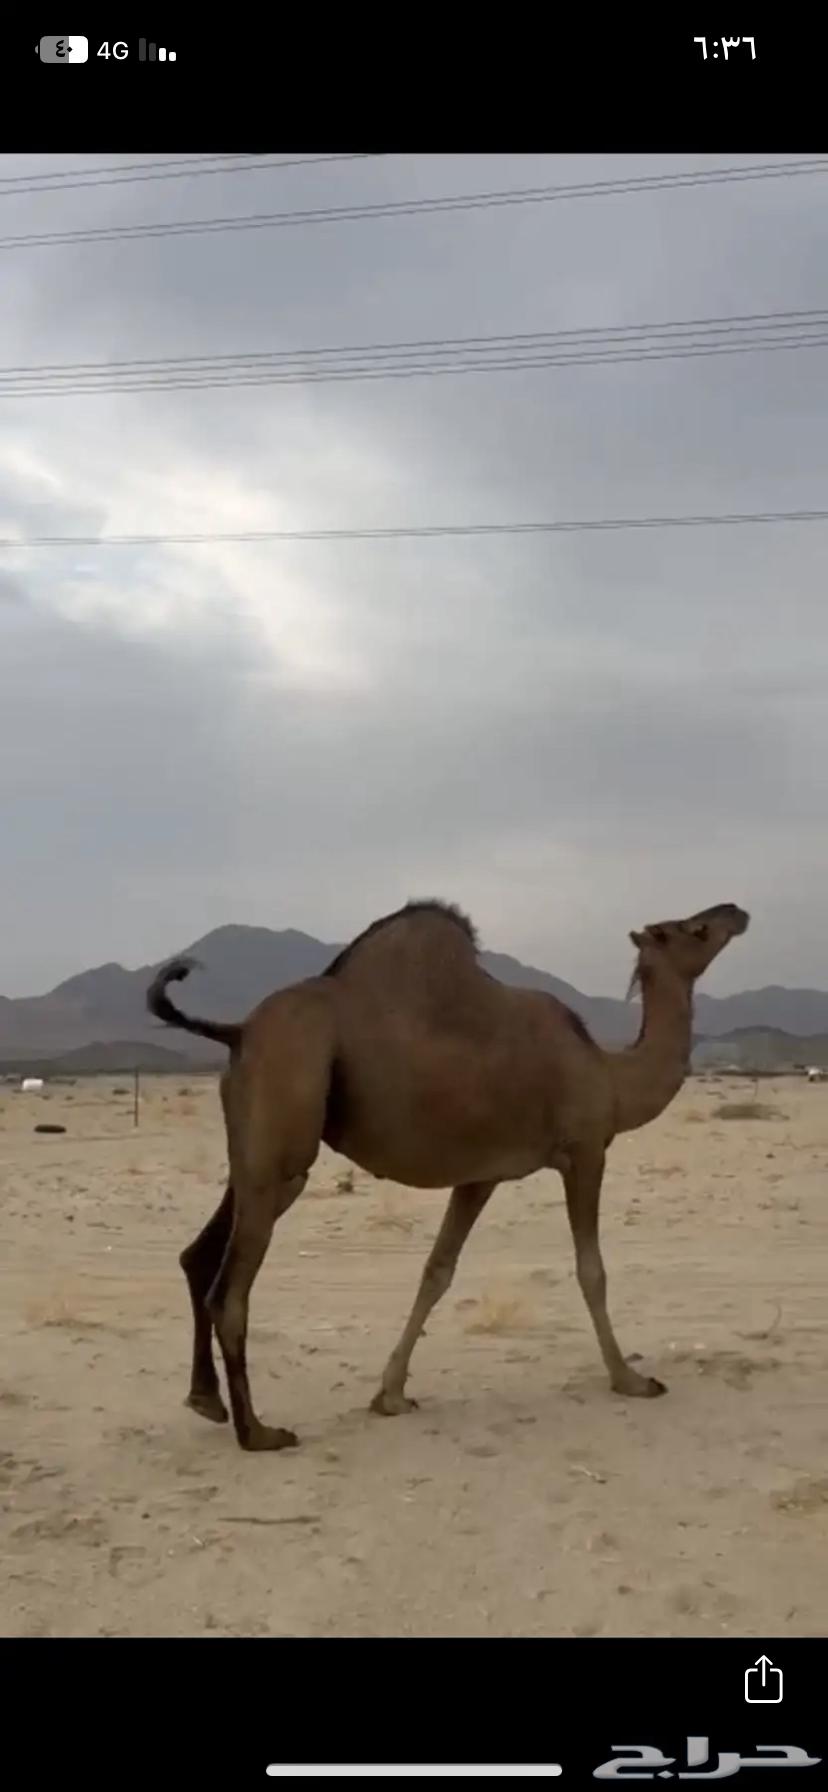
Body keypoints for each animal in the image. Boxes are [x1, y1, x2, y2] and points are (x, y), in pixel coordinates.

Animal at [147, 897, 749, 1452]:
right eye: (694, 928)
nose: (737, 912)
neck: (610, 1076)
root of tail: (238, 1031)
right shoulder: (584, 1151)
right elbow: (592, 1271)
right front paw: (631, 1379)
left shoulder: (480, 1174)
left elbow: (437, 1270)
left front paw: (391, 1395)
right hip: (286, 1121)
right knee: (231, 1290)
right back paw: (259, 1432)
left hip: (252, 1151)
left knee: (198, 1255)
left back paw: (205, 1400)